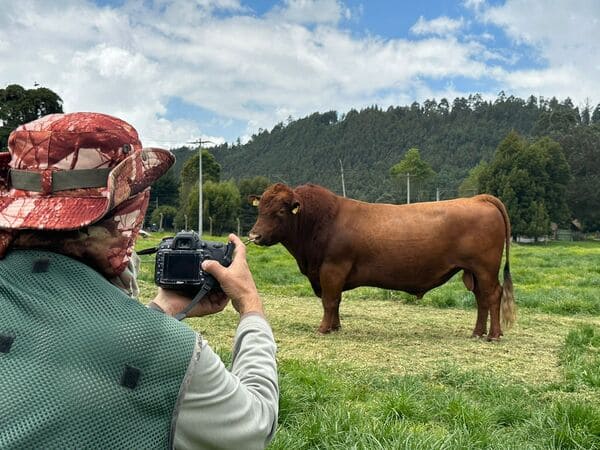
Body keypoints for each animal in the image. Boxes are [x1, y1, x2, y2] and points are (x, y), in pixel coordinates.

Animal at [249, 183, 516, 340]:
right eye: (260, 209)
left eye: (280, 211)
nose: (254, 235)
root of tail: (478, 199)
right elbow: (336, 302)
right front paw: (336, 327)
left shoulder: (332, 269)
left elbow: (329, 300)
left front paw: (324, 329)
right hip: (474, 272)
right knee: (481, 299)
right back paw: (477, 333)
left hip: (485, 269)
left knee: (493, 296)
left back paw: (493, 335)